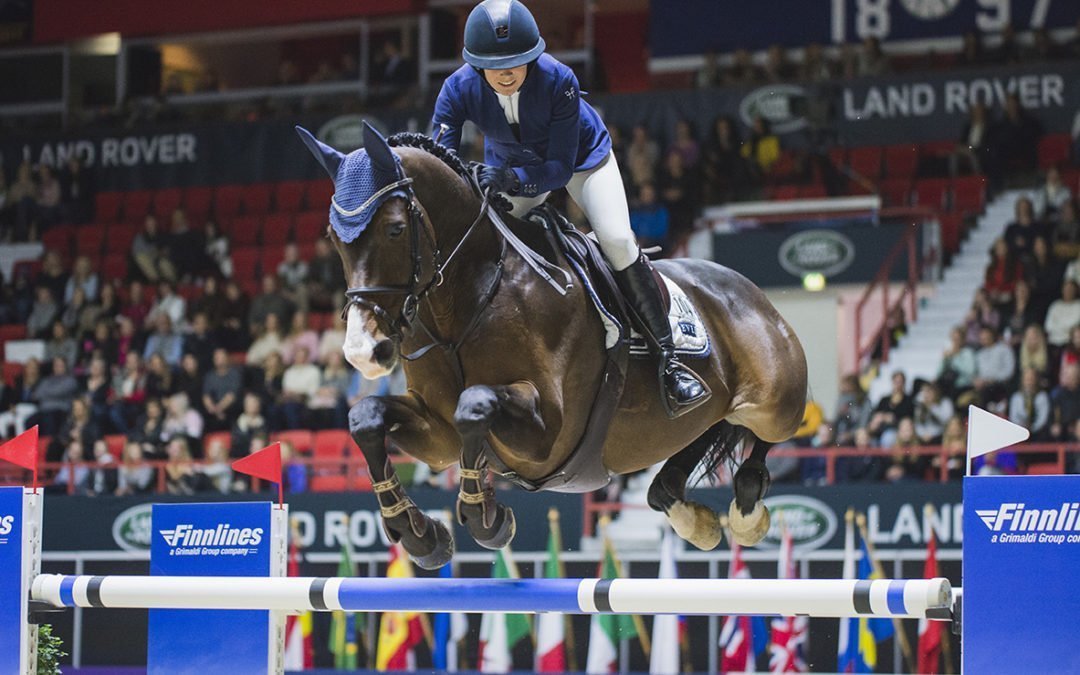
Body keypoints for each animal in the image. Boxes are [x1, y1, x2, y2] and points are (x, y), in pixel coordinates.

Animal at [297, 122, 807, 569]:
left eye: (395, 229)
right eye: (332, 238)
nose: (364, 350)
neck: (464, 301)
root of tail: (753, 294)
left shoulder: (550, 430)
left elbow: (474, 404)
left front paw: (486, 518)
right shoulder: (437, 433)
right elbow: (367, 418)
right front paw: (419, 534)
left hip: (772, 404)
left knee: (763, 431)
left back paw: (746, 512)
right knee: (700, 439)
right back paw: (690, 515)